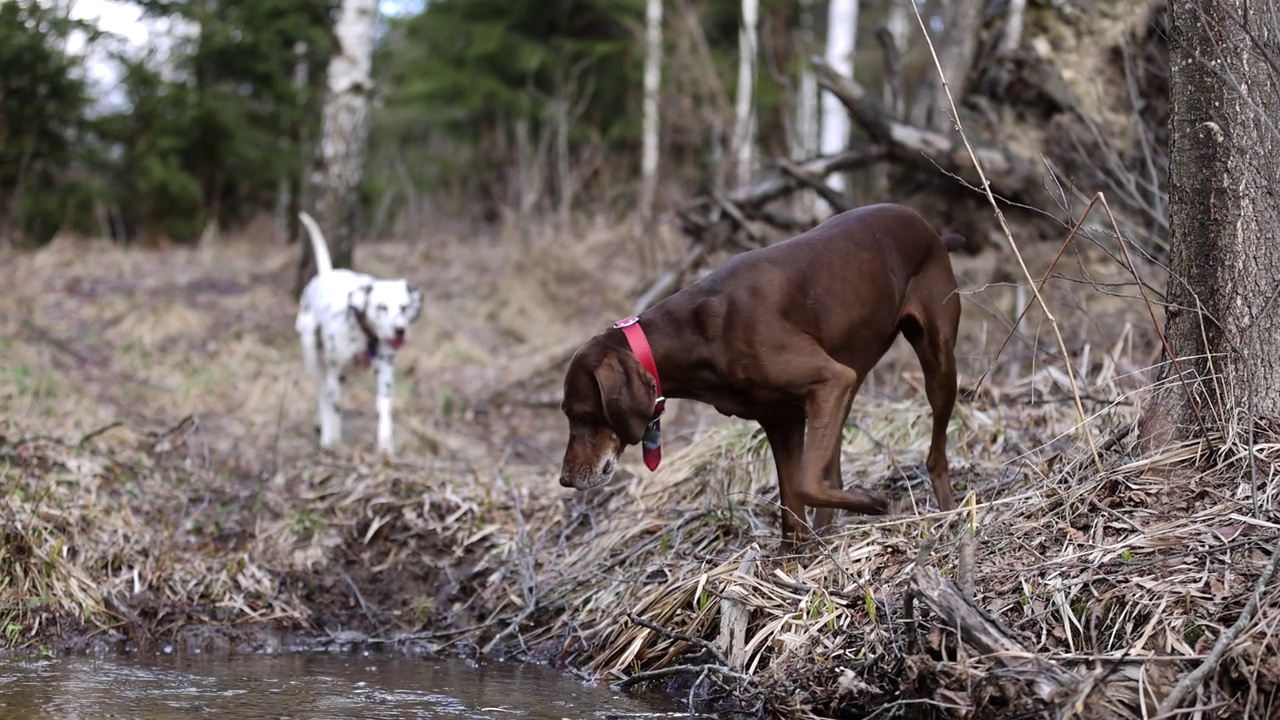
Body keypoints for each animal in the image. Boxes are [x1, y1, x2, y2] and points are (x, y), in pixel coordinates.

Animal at [294, 210, 424, 450]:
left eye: (404, 307)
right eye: (381, 307)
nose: (399, 330)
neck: (366, 336)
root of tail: (327, 273)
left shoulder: (385, 373)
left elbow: (384, 410)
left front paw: (385, 446)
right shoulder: (335, 372)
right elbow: (333, 407)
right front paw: (332, 440)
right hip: (312, 355)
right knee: (322, 392)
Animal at [555, 199, 962, 543]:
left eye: (581, 414)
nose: (565, 479)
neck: (697, 330)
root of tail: (927, 225)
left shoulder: (830, 381)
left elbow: (805, 485)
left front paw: (873, 502)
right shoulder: (781, 419)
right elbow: (793, 503)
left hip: (936, 361)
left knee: (935, 453)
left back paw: (946, 513)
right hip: (848, 383)